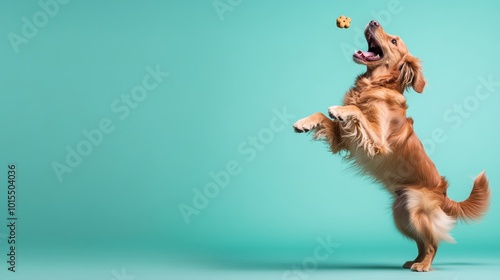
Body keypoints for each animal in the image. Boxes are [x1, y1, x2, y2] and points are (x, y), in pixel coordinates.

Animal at [292, 19, 490, 272]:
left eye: (394, 41)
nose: (373, 21)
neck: (375, 85)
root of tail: (443, 193)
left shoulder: (379, 142)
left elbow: (354, 111)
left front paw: (340, 109)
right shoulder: (342, 138)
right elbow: (323, 116)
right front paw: (303, 123)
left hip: (415, 208)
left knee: (433, 243)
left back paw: (423, 265)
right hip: (401, 215)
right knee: (422, 242)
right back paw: (414, 261)